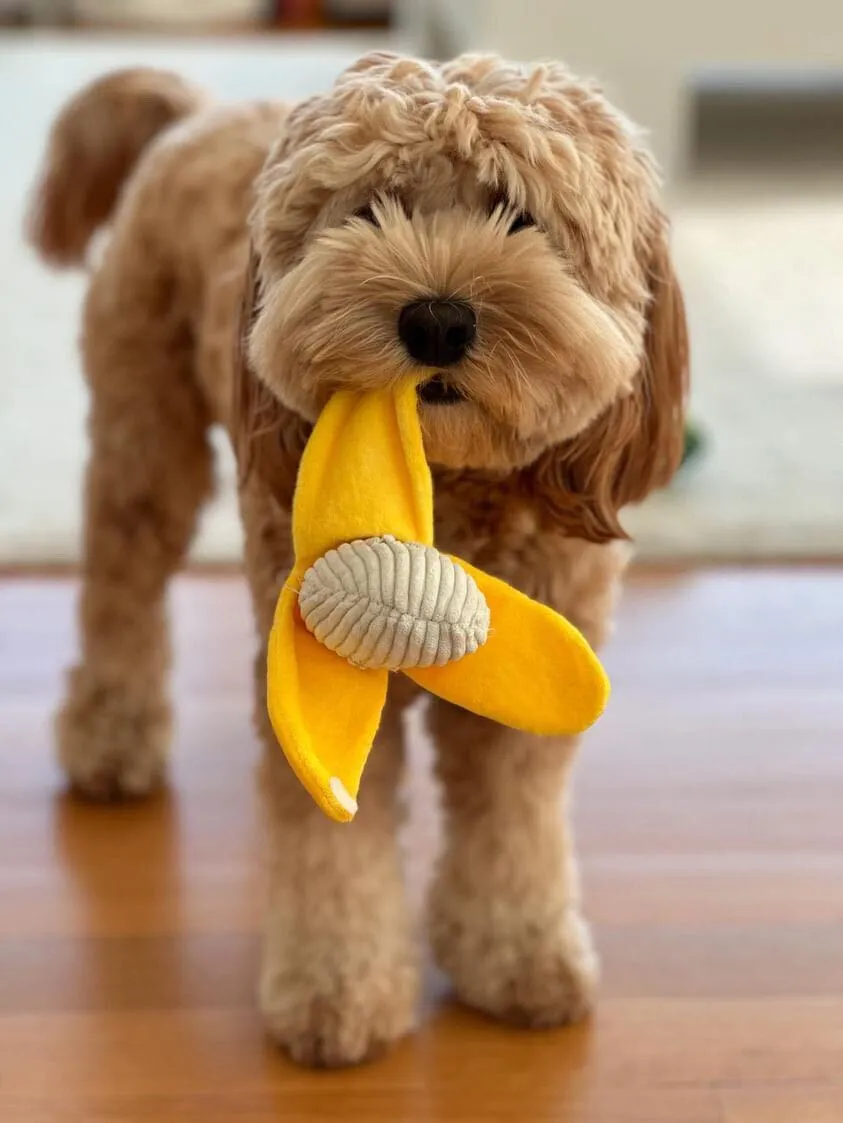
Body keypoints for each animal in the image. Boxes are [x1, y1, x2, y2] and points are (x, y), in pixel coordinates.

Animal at [26, 54, 686, 1069]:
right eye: (368, 209)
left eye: (520, 215)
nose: (438, 319)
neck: (450, 489)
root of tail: (195, 113)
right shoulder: (317, 678)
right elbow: (334, 841)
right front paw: (337, 992)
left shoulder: (532, 689)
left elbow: (515, 820)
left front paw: (518, 956)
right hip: (147, 426)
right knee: (121, 580)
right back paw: (111, 737)